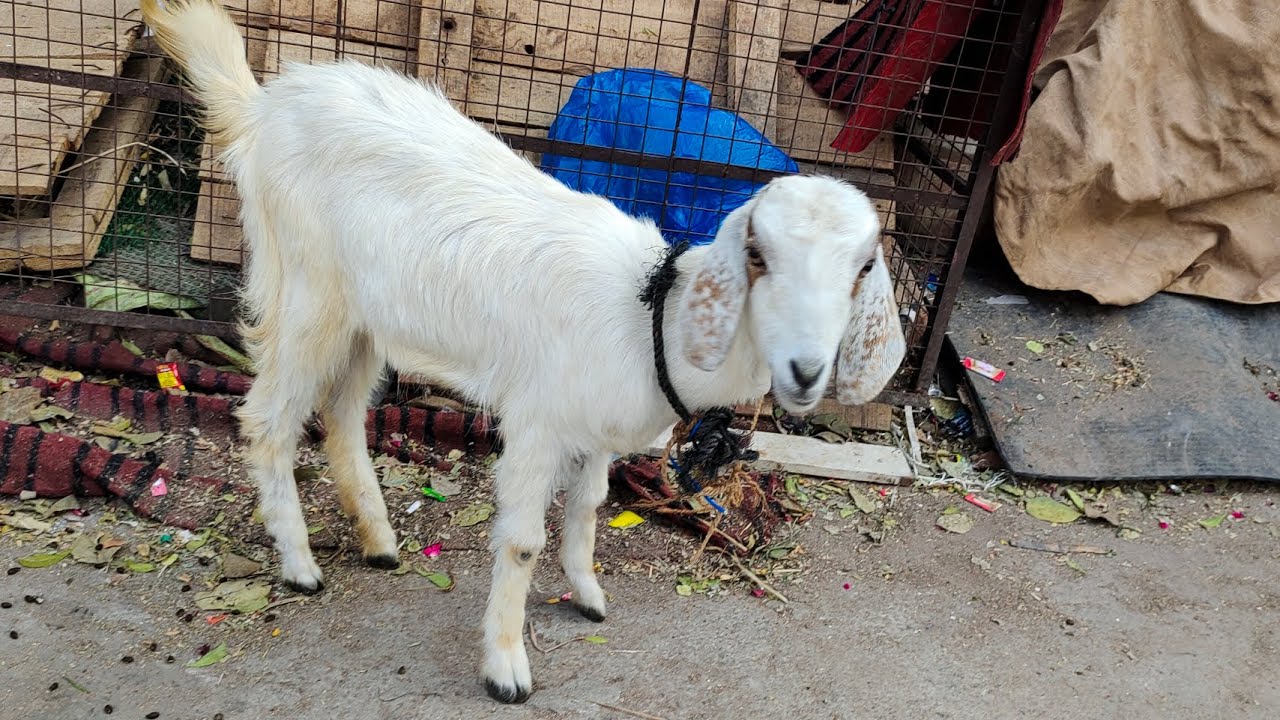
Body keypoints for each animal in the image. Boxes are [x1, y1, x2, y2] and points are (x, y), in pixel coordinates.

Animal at [141, 0, 907, 703]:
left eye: (864, 267)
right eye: (757, 255)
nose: (806, 371)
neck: (646, 316)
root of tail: (265, 105)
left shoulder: (594, 430)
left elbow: (589, 507)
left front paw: (586, 591)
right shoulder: (538, 422)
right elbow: (521, 541)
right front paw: (506, 666)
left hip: (365, 319)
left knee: (341, 417)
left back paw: (379, 541)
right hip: (306, 293)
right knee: (268, 421)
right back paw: (300, 566)